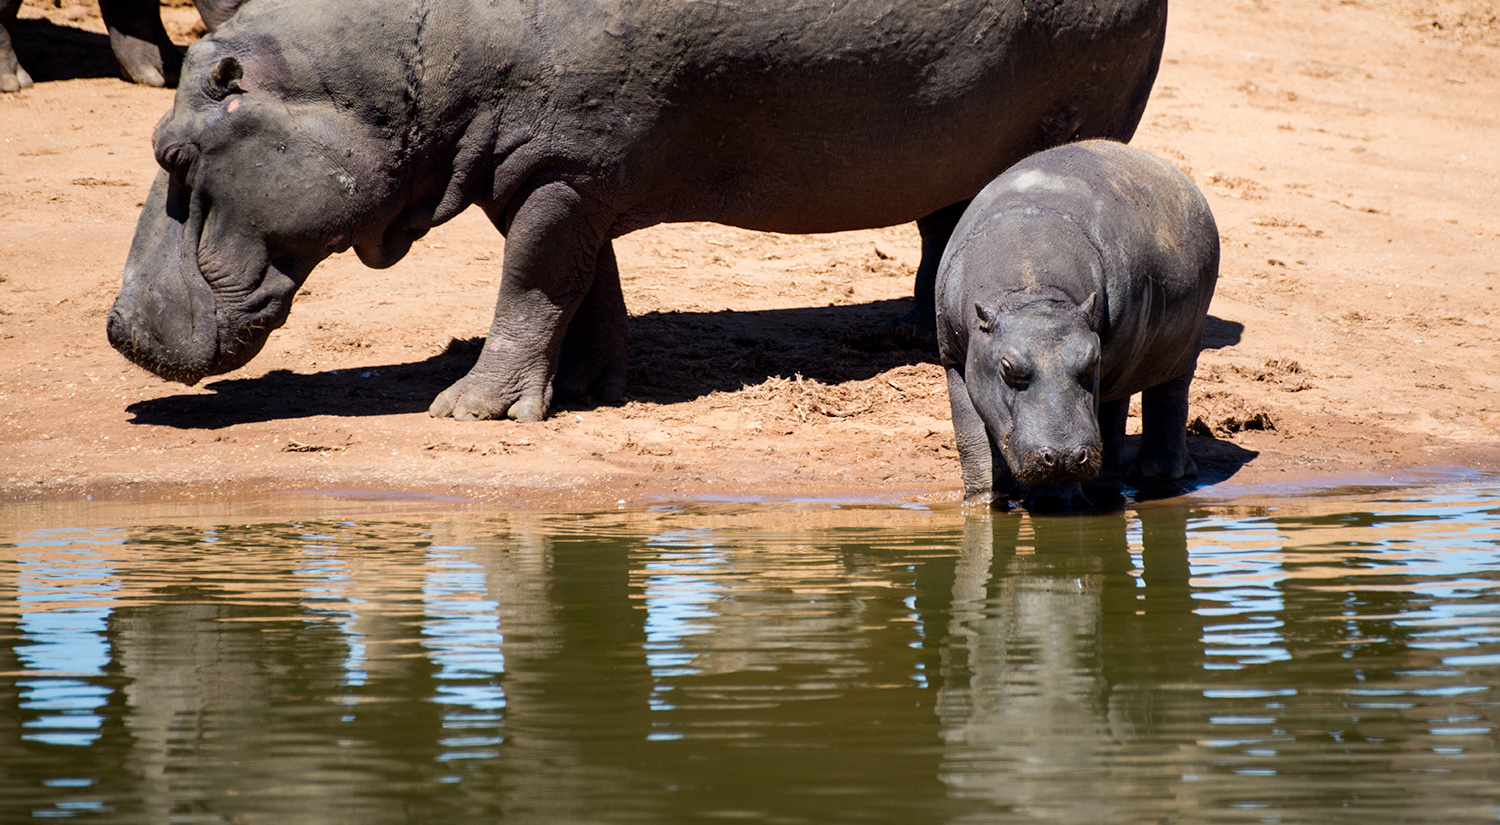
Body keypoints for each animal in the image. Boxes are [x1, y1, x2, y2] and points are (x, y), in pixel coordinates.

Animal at [107, 0, 1168, 422]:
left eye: (173, 152)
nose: (116, 325)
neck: (378, 73)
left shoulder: (559, 171)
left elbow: (528, 284)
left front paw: (468, 411)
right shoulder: (567, 175)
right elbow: (579, 285)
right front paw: (590, 388)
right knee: (948, 226)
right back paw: (917, 330)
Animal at [936, 140, 1219, 508]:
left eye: (1090, 359)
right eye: (1007, 368)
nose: (1064, 456)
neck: (1032, 291)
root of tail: (1179, 176)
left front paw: (1056, 506)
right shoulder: (956, 360)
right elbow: (973, 441)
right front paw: (986, 502)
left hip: (1181, 352)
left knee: (1168, 401)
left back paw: (1161, 475)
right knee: (1117, 400)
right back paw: (1110, 464)